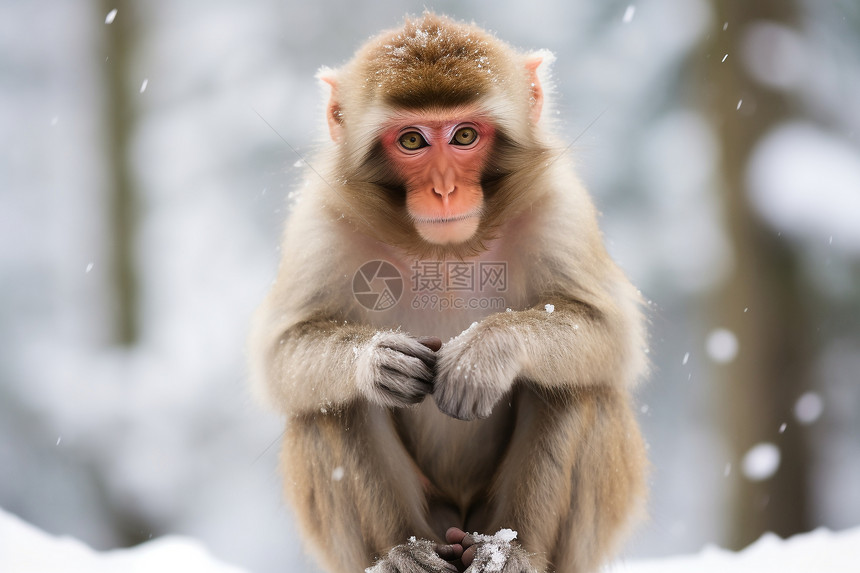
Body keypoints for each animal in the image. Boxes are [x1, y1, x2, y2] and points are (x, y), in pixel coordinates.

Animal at [247, 13, 644, 572]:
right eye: (412, 141)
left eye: (464, 135)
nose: (444, 190)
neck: (444, 251)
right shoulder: (319, 219)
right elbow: (281, 351)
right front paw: (378, 361)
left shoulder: (559, 205)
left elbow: (612, 332)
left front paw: (486, 352)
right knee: (327, 405)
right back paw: (401, 552)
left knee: (579, 386)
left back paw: (510, 552)